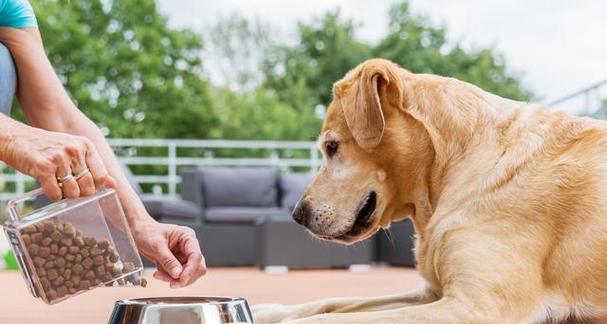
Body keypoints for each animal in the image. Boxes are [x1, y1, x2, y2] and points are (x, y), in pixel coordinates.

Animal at [254, 58, 607, 324]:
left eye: (331, 146)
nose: (297, 215)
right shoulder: (432, 293)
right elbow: (333, 302)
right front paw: (266, 310)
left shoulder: (476, 306)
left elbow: (331, 318)